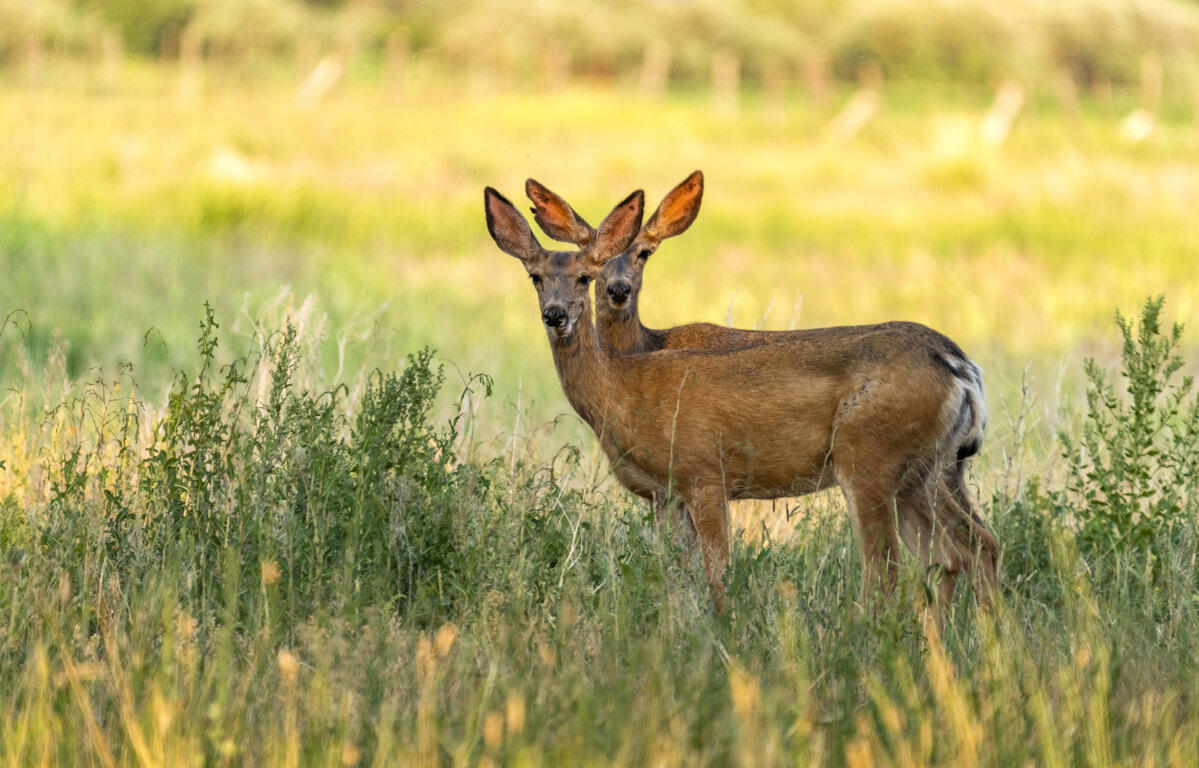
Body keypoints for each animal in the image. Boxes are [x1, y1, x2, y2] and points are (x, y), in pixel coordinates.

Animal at [484, 184, 998, 618]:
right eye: (535, 277)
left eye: (582, 277)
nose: (555, 315)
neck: (624, 386)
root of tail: (960, 366)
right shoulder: (665, 495)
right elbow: (673, 575)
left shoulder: (703, 472)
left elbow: (718, 574)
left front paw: (723, 631)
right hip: (930, 468)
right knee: (970, 548)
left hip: (869, 456)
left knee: (889, 565)